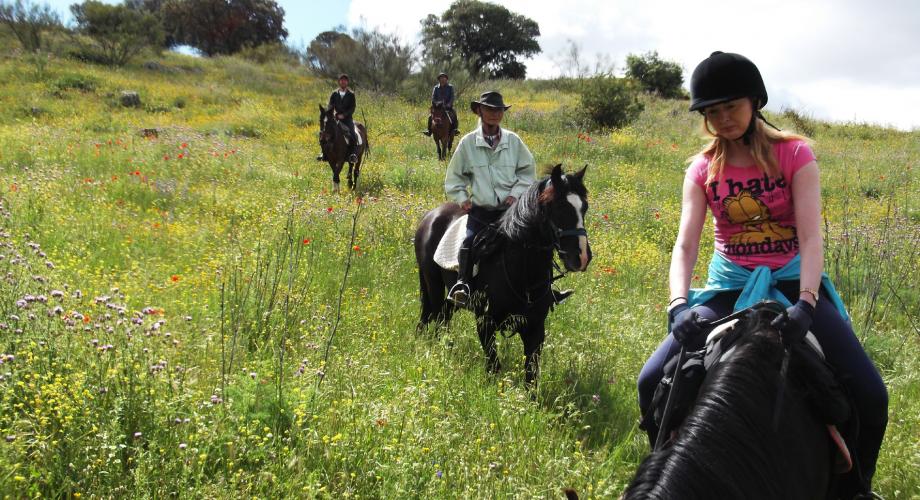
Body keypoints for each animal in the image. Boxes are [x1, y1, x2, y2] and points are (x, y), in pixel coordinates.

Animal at [416, 164, 592, 386]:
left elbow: (531, 376)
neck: (522, 271)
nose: (582, 257)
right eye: (559, 207)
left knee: (443, 319)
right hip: (433, 285)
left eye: (584, 207)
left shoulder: (535, 328)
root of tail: (430, 216)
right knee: (436, 317)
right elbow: (493, 366)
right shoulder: (485, 322)